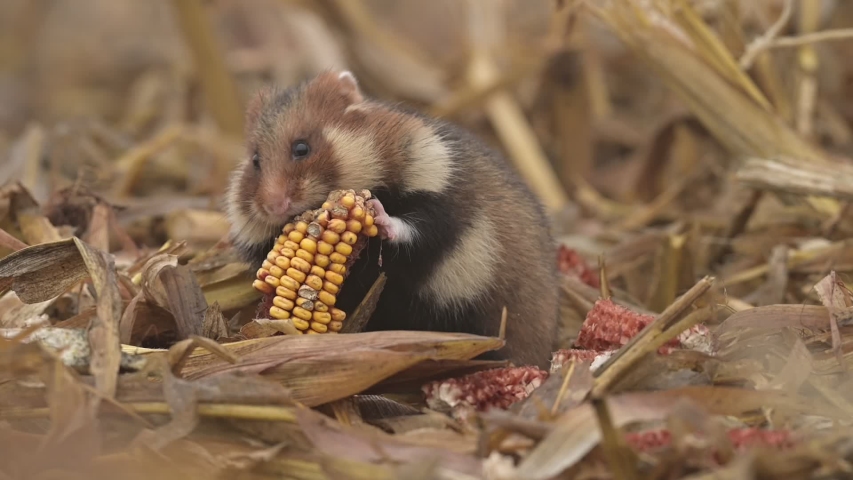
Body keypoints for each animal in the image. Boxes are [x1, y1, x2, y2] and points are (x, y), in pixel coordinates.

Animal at [225, 70, 559, 369]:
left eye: (302, 147)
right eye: (255, 160)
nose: (274, 207)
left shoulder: (439, 200)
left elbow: (411, 229)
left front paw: (374, 209)